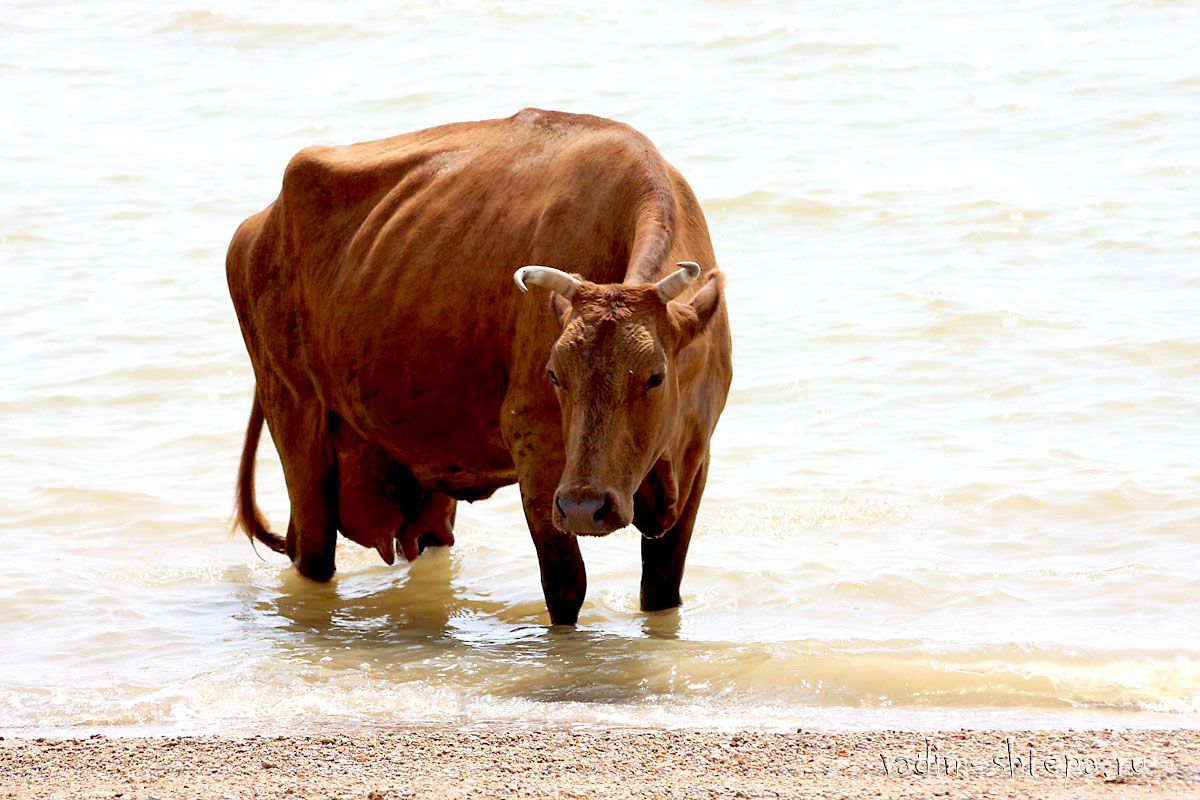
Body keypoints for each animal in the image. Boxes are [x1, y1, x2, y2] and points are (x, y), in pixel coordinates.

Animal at [225, 109, 729, 623]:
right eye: (554, 375)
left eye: (655, 376)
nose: (585, 508)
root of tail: (259, 224)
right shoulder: (536, 453)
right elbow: (566, 586)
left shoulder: (697, 458)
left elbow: (662, 588)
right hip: (295, 419)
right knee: (312, 552)